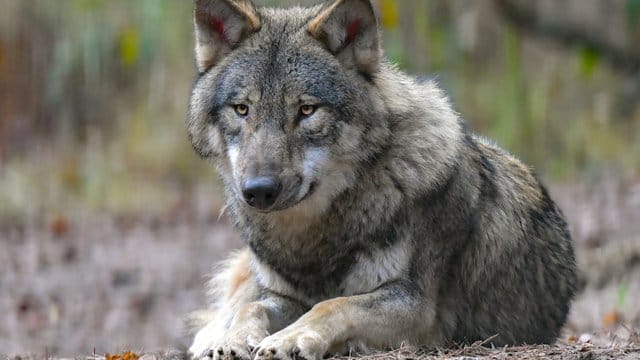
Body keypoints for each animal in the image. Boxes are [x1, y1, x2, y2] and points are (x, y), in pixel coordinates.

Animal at [184, 0, 576, 358]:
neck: (314, 237)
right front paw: (231, 340)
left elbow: (334, 304)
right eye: (242, 109)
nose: (259, 191)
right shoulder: (281, 295)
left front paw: (291, 338)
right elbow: (252, 307)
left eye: (307, 110)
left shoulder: (415, 305)